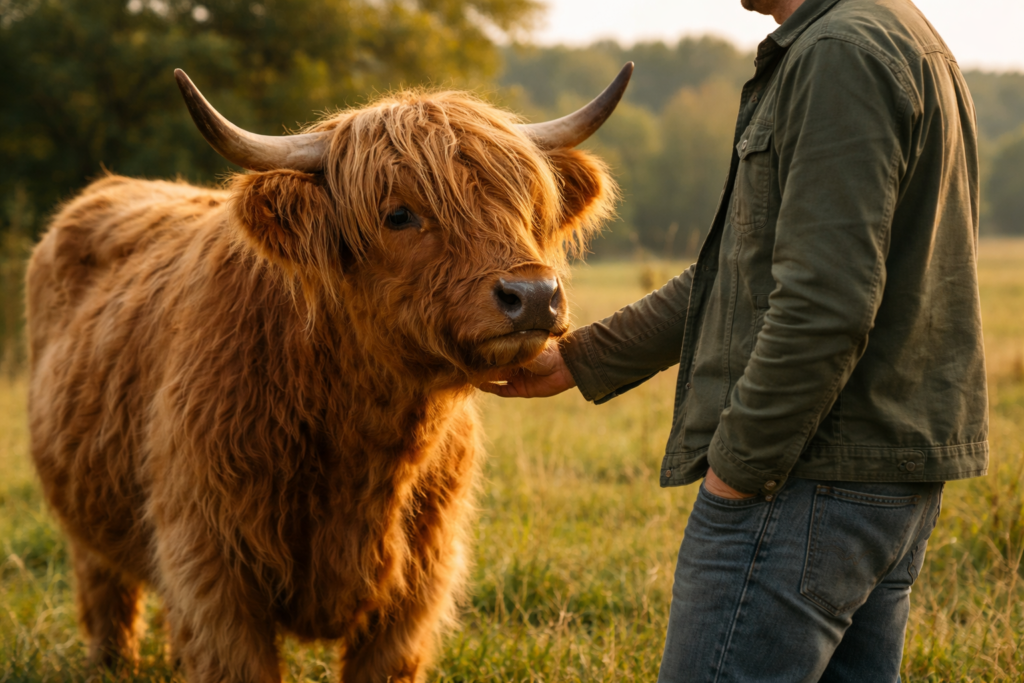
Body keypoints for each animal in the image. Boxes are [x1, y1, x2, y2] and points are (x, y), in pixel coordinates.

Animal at [25, 63, 630, 682]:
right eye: (399, 214)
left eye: (529, 205)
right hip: (90, 523)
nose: (533, 295)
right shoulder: (212, 568)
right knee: (106, 594)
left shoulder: (418, 584)